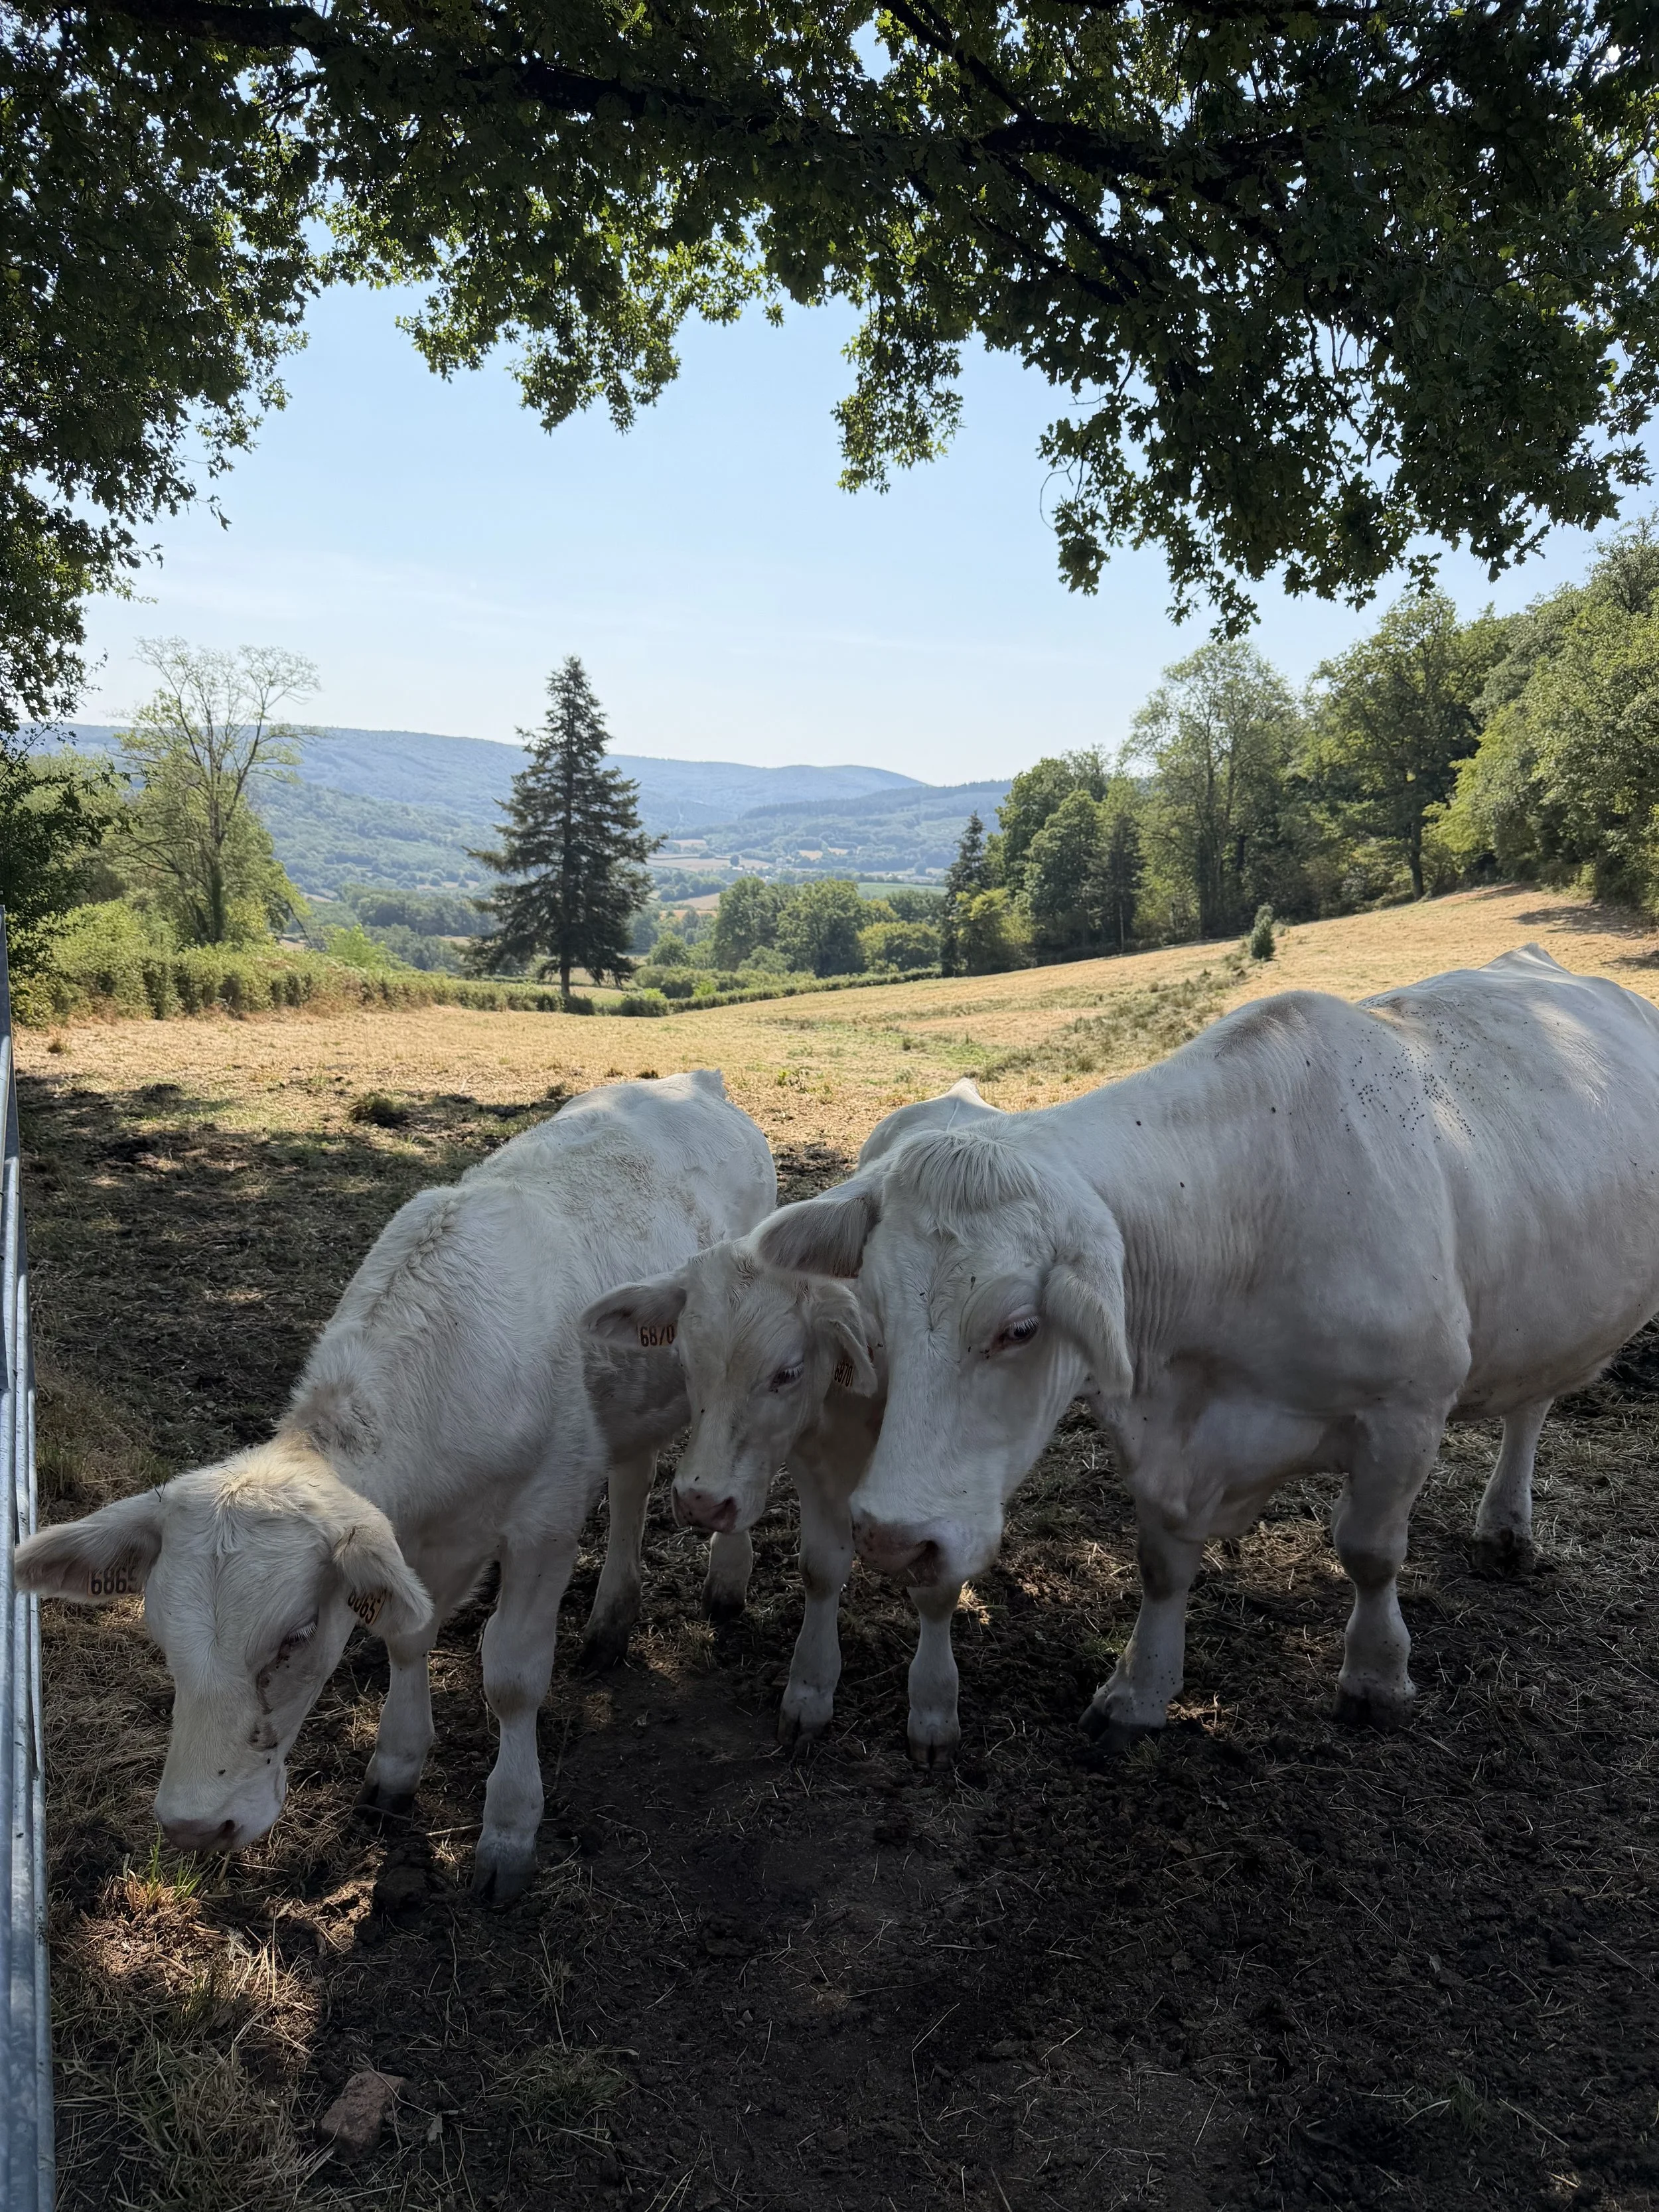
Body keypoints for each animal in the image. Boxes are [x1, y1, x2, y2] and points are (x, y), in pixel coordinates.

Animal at [15, 1071, 776, 1901]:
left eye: (296, 1637)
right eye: (158, 1633)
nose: (192, 1827)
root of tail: (693, 1080)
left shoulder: (543, 1520)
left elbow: (513, 1675)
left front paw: (509, 1827)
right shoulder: (399, 1541)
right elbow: (407, 1638)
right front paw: (396, 1766)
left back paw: (721, 1581)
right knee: (633, 1474)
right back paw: (611, 1617)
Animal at [584, 1079, 1001, 1762]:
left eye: (787, 1371)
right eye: (687, 1359)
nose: (700, 1502)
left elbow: (938, 1585)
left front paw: (935, 1706)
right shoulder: (814, 1457)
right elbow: (821, 1568)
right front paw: (810, 1689)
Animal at [755, 948, 1659, 1744]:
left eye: (1019, 1328)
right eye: (878, 1315)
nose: (891, 1537)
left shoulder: (1403, 1411)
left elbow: (1368, 1554)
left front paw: (1374, 1678)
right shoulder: (1162, 1430)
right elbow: (1161, 1562)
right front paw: (1139, 1690)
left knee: (1529, 1411)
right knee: (1531, 1397)